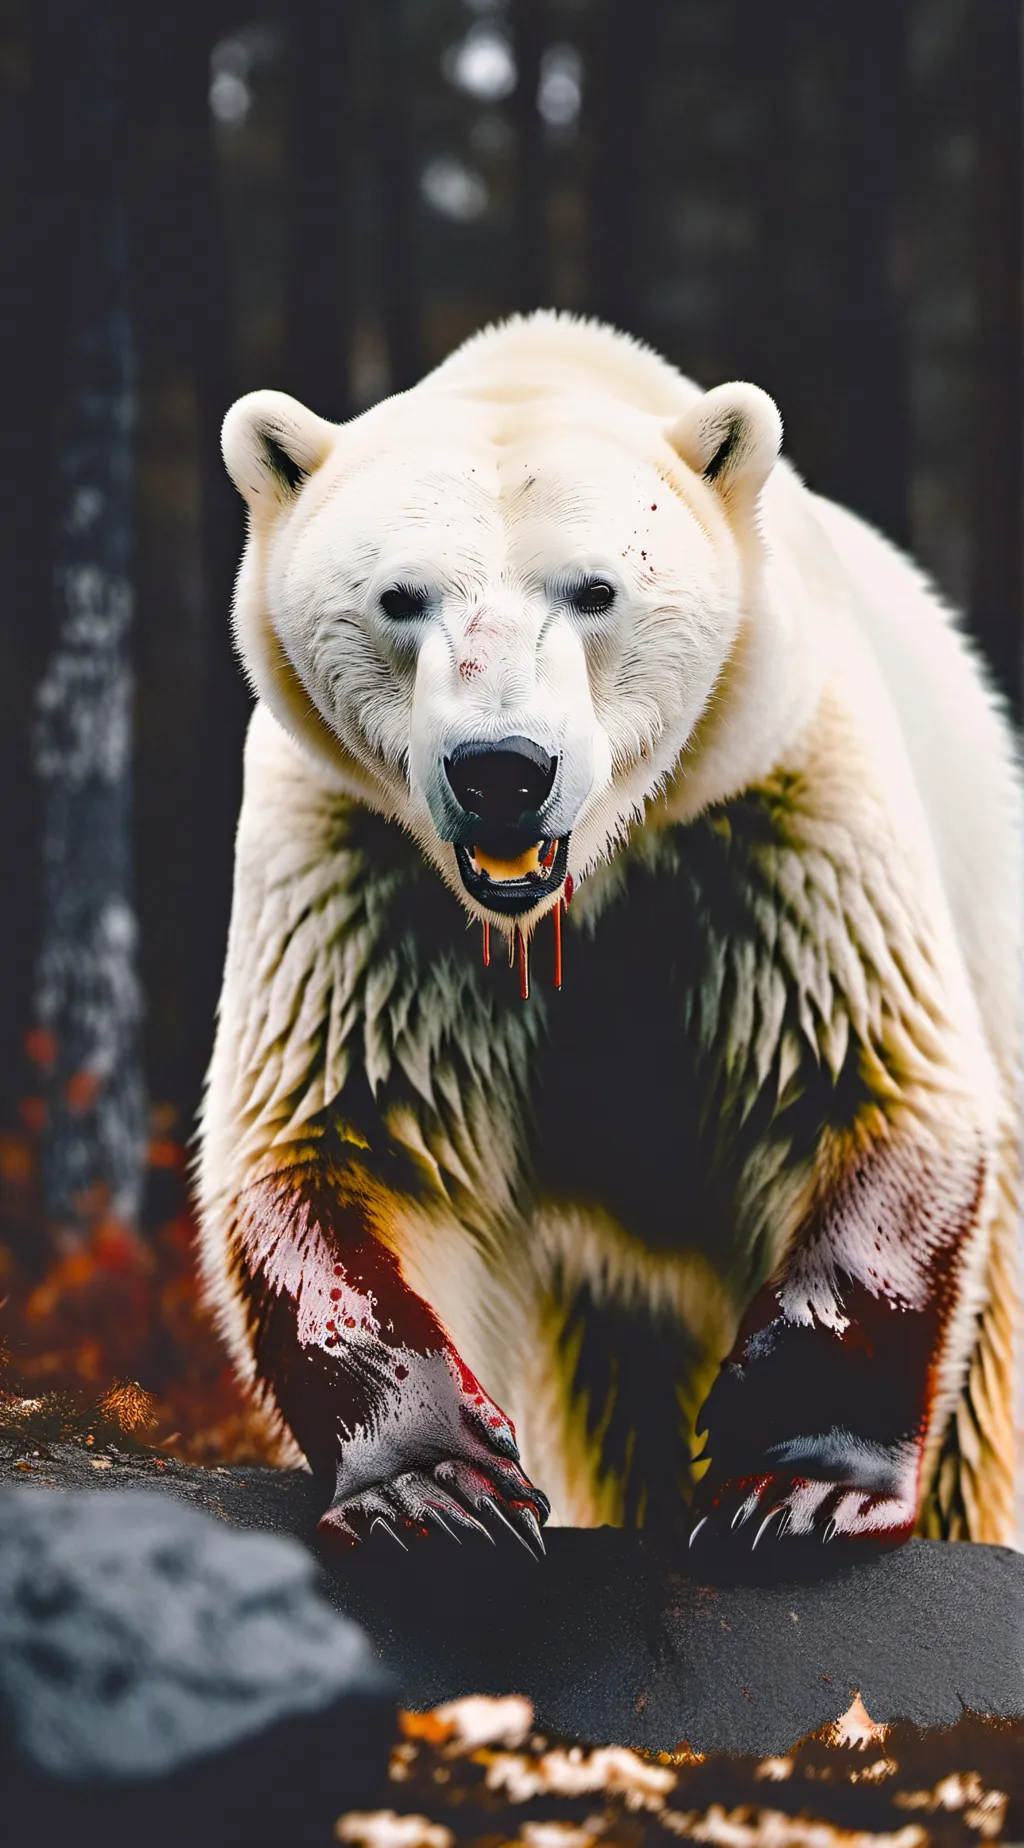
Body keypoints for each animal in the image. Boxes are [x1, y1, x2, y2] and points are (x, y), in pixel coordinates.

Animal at [198, 311, 1020, 1563]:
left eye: (595, 590)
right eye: (398, 597)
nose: (500, 769)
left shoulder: (771, 810)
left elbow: (863, 1079)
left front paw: (793, 1486)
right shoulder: (361, 861)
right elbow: (347, 1129)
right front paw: (436, 1489)